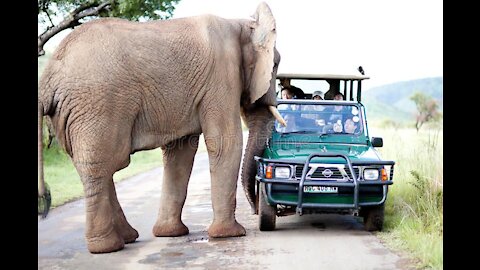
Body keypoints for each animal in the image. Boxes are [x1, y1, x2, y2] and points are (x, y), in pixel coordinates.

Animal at [38, 2, 284, 254]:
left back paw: (127, 237)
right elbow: (225, 142)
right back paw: (108, 247)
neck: (241, 24)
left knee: (96, 166)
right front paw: (231, 234)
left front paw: (170, 234)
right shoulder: (221, 76)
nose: (255, 210)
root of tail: (47, 79)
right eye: (275, 64)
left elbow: (180, 153)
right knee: (102, 165)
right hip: (98, 104)